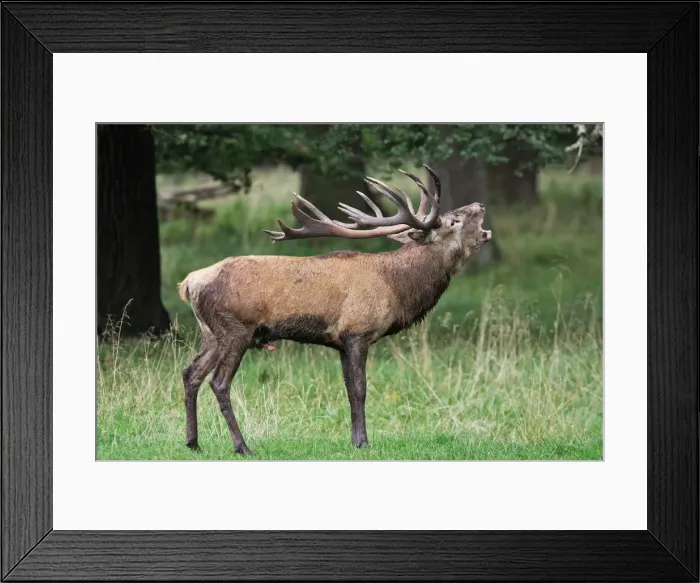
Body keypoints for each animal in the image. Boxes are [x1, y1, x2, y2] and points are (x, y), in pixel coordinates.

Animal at [177, 165, 492, 455]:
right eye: (454, 220)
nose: (480, 204)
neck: (396, 287)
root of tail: (189, 282)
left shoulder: (340, 341)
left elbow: (349, 390)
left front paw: (354, 440)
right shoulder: (358, 331)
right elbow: (361, 389)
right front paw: (364, 442)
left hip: (211, 333)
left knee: (190, 372)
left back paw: (193, 443)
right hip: (236, 329)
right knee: (219, 382)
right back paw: (242, 446)